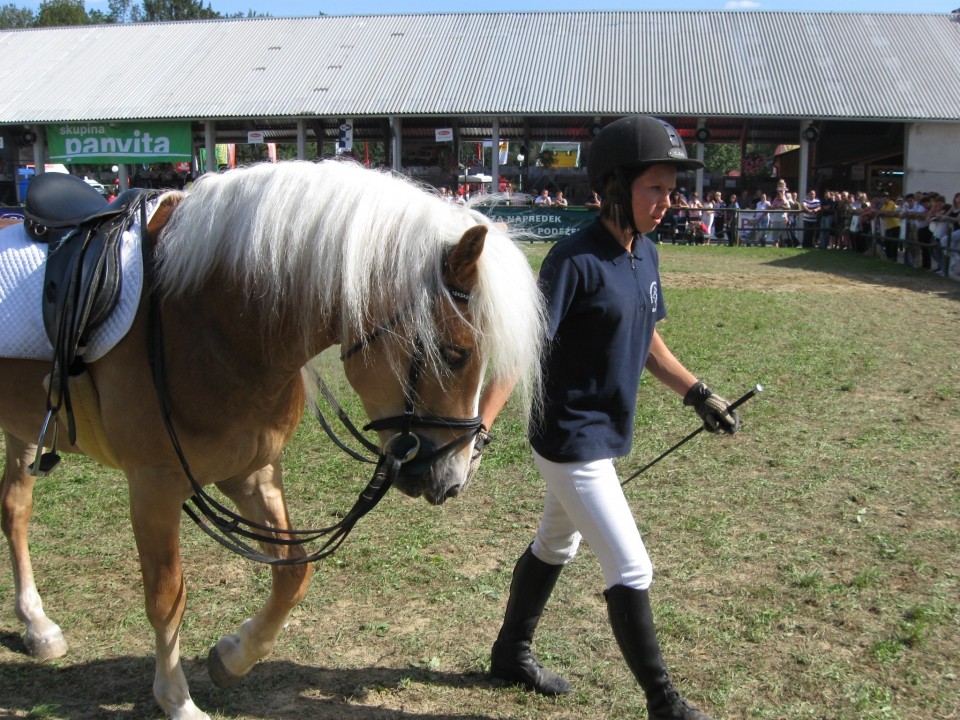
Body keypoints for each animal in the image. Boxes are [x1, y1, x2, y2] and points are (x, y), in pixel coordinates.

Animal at [0, 160, 548, 716]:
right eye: (455, 354)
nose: (455, 477)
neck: (207, 320)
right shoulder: (153, 486)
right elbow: (166, 597)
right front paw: (176, 698)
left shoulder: (253, 470)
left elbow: (292, 574)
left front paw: (232, 656)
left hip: (22, 432)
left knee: (14, 509)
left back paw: (36, 624)